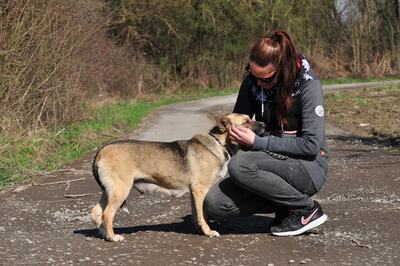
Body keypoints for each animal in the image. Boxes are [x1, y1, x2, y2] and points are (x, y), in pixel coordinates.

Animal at [90, 112, 266, 241]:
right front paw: (209, 232)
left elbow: (197, 215)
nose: (264, 125)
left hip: (109, 191)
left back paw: (104, 234)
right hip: (120, 190)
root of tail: (101, 151)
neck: (219, 142)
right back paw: (113, 237)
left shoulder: (194, 193)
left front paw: (200, 230)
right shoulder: (200, 190)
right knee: (107, 214)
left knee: (95, 213)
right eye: (246, 123)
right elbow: (203, 215)